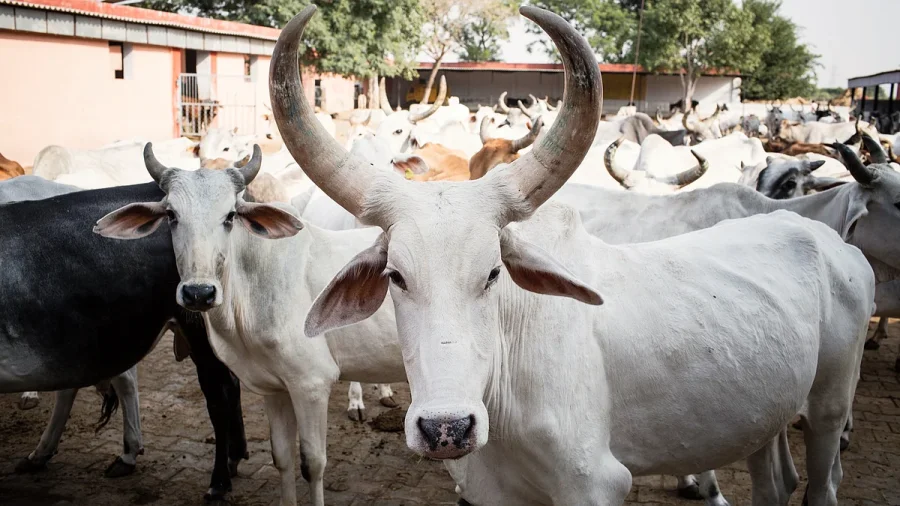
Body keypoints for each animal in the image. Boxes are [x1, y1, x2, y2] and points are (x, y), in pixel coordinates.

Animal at [271, 6, 872, 506]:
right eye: (395, 275)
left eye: (494, 273)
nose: (446, 429)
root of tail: (826, 238)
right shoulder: (489, 494)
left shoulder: (594, 486)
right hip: (762, 418)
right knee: (777, 483)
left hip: (828, 407)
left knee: (822, 482)